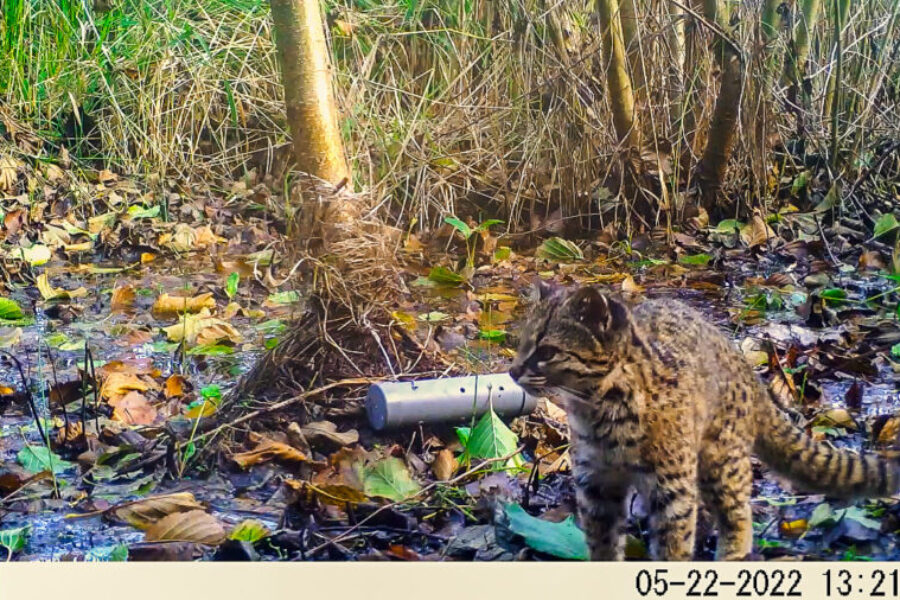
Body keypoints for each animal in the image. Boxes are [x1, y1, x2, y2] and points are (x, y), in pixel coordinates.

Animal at [510, 284, 896, 560]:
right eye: (522, 341)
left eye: (546, 351)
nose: (513, 370)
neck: (600, 411)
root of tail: (746, 369)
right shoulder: (596, 485)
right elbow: (603, 544)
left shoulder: (671, 489)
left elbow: (673, 548)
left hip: (720, 460)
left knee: (739, 512)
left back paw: (732, 554)